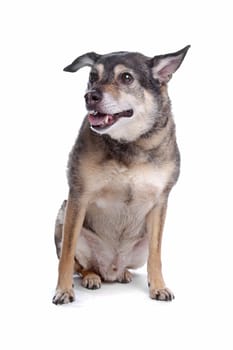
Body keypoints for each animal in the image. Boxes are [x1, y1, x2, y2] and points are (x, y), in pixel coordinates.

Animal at [52, 45, 189, 304]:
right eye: (92, 76)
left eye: (126, 77)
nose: (90, 96)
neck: (128, 141)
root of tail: (110, 271)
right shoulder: (78, 196)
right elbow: (67, 254)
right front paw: (63, 290)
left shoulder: (160, 203)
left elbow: (156, 254)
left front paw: (159, 286)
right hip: (64, 215)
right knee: (81, 265)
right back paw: (91, 277)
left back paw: (124, 274)